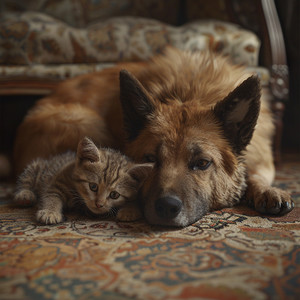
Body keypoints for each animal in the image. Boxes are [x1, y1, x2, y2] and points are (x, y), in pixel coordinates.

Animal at [13, 137, 152, 224]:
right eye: (93, 186)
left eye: (114, 194)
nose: (99, 204)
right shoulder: (57, 183)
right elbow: (51, 197)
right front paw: (50, 212)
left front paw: (130, 210)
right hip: (37, 166)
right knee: (26, 179)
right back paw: (25, 195)